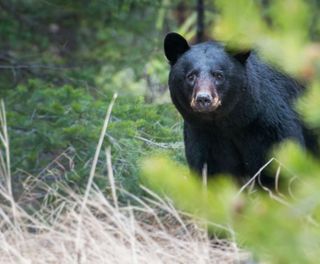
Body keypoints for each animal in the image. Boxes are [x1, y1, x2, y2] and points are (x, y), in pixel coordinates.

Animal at [165, 32, 318, 186]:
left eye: (219, 75)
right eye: (190, 76)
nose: (203, 99)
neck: (231, 123)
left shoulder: (269, 125)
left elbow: (277, 165)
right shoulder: (203, 133)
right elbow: (211, 169)